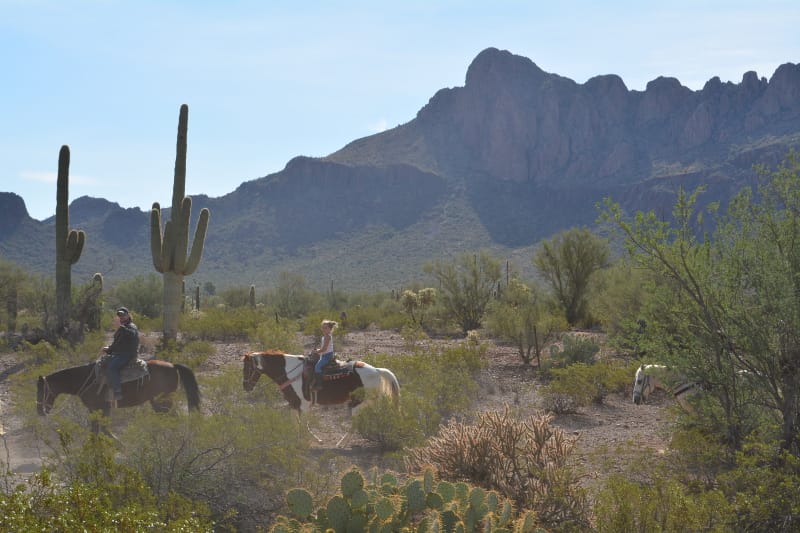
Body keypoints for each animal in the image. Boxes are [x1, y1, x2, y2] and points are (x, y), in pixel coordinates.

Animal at [239, 350, 398, 444]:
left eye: (247, 368)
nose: (246, 386)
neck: (289, 372)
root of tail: (377, 370)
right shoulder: (293, 403)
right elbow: (295, 424)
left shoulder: (304, 405)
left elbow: (304, 425)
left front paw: (312, 440)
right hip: (368, 402)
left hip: (357, 404)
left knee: (356, 423)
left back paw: (341, 443)